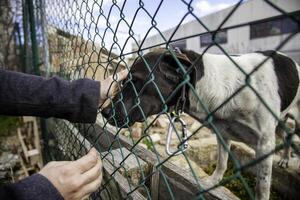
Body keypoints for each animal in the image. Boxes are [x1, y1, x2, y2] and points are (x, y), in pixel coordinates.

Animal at [101, 48, 300, 200]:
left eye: (135, 80)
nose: (104, 112)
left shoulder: (265, 143)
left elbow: (262, 186)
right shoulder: (223, 134)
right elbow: (221, 162)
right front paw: (212, 183)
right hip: (280, 123)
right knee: (288, 134)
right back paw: (284, 158)